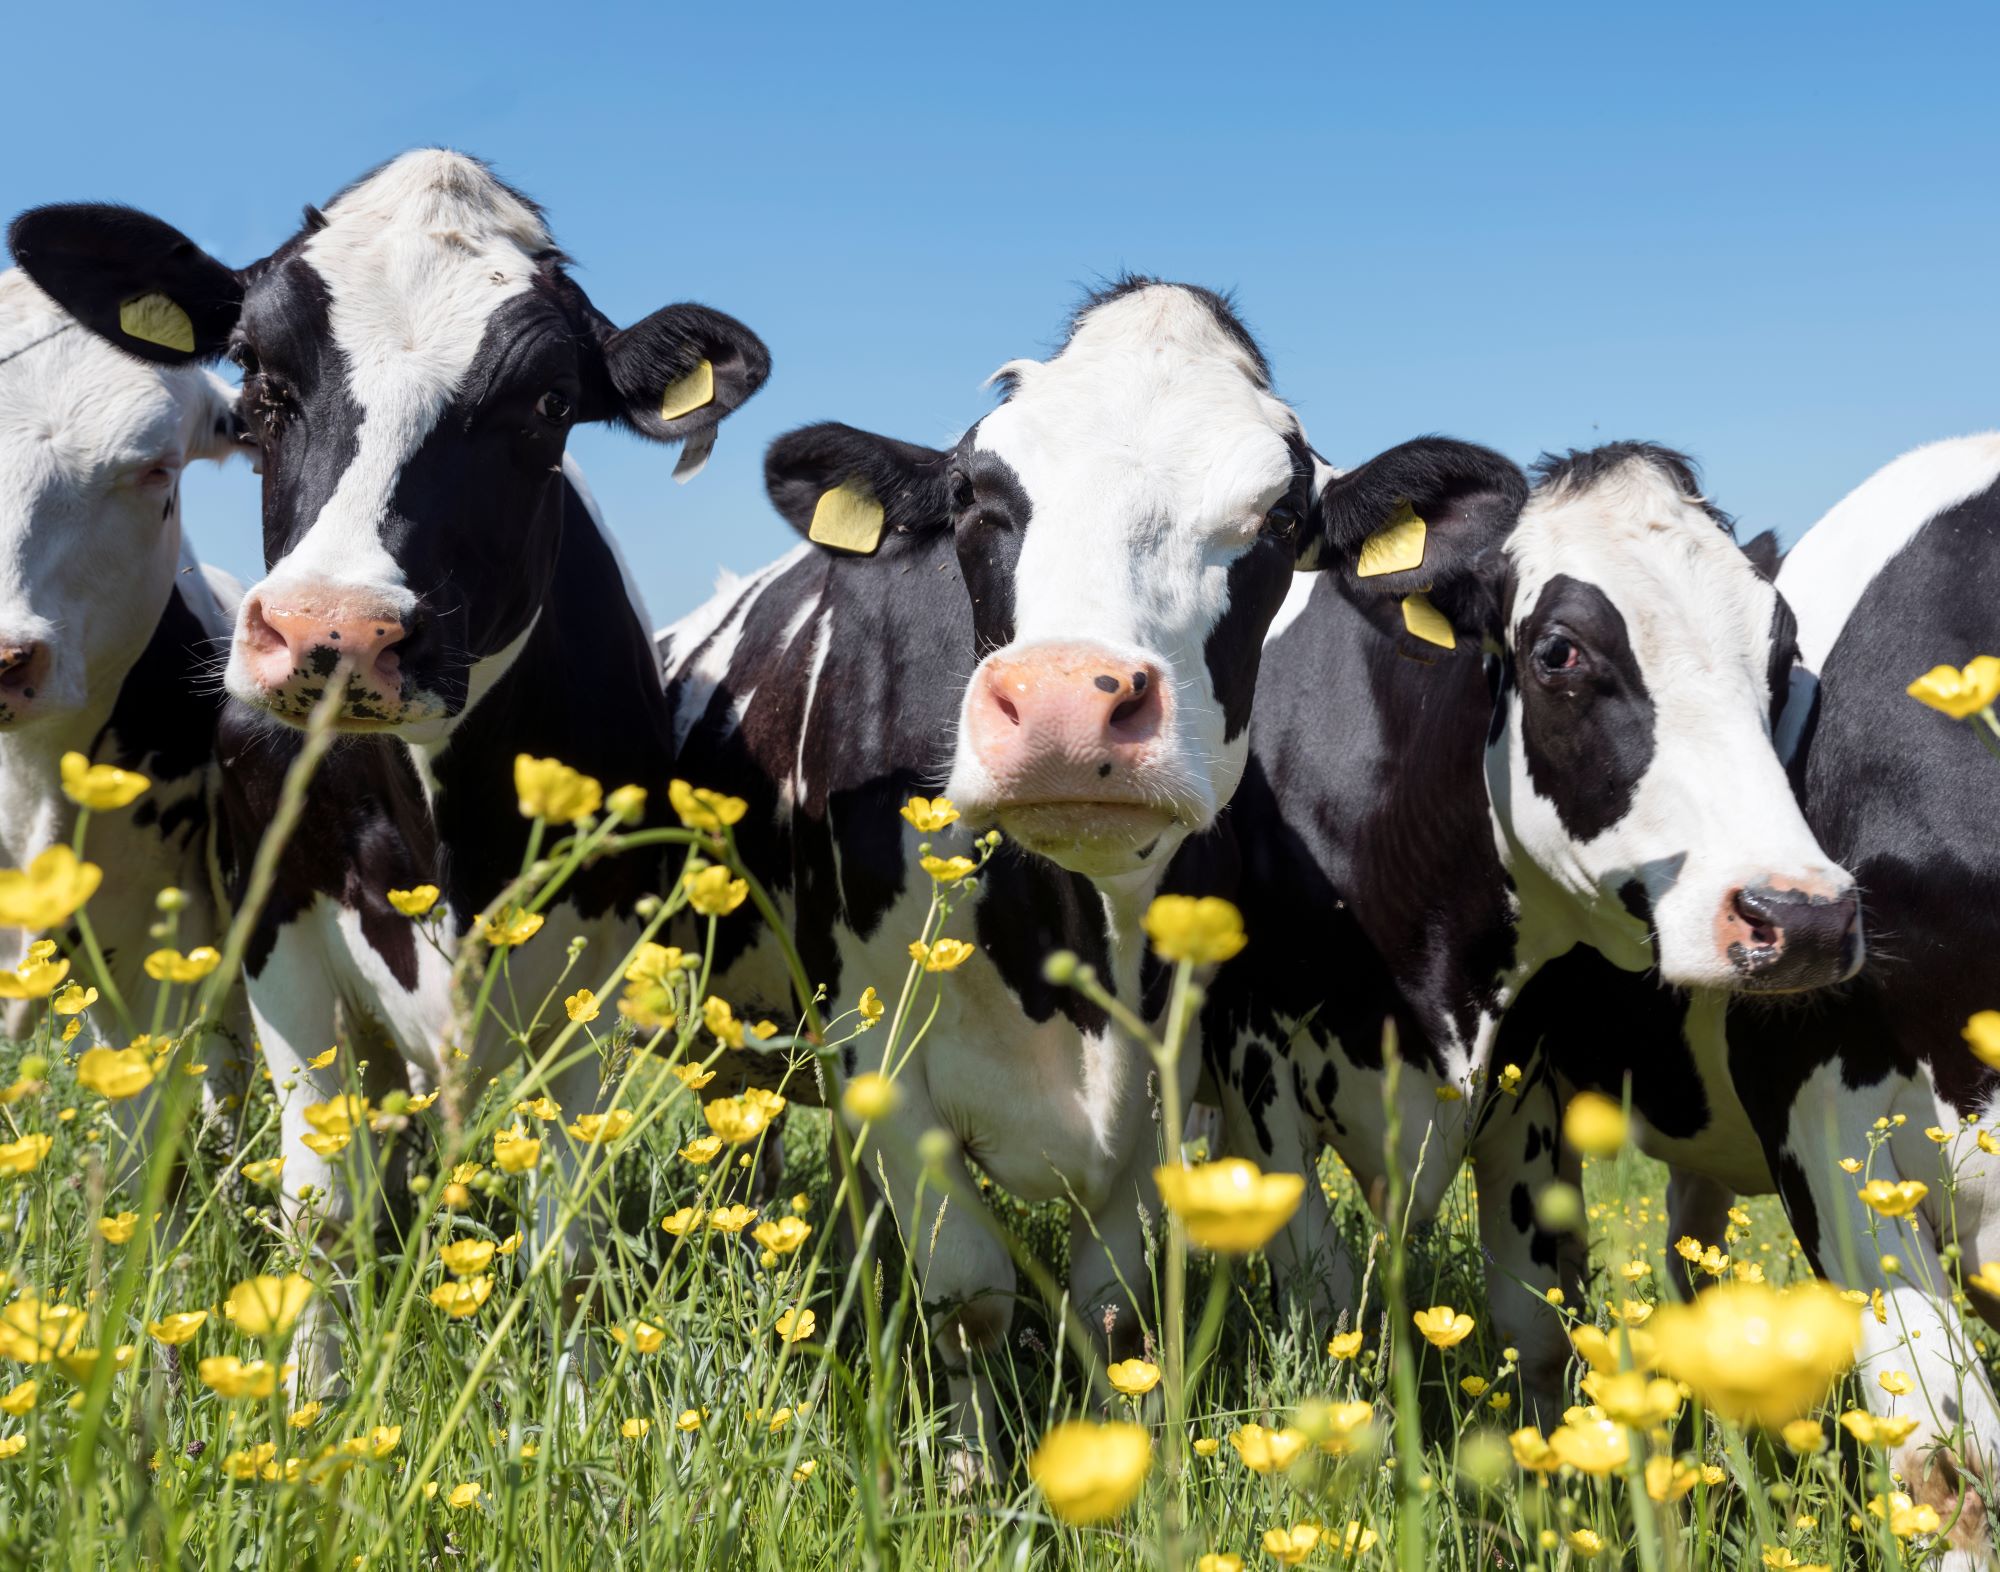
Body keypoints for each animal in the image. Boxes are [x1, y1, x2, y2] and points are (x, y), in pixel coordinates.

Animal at [660, 275, 1525, 1458]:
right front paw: (970, 1472)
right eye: (974, 495)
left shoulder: (1167, 1070)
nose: (1069, 704)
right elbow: (970, 1296)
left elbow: (1109, 1305)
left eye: (1279, 518)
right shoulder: (878, 1046)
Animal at [1180, 442, 1864, 1410]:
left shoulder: (1526, 1078)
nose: (1803, 916)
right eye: (1558, 650)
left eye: (1780, 652)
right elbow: (1323, 1300)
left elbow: (1534, 1326)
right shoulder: (1255, 1068)